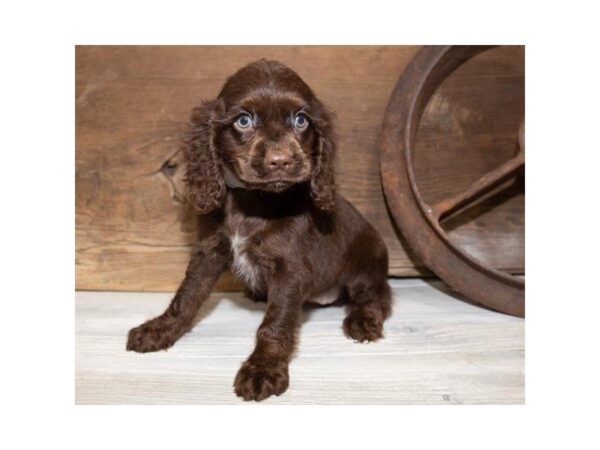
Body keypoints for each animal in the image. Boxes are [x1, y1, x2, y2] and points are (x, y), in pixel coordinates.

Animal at [126, 59, 392, 400]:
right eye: (244, 120)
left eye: (301, 120)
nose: (281, 161)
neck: (254, 200)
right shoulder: (209, 251)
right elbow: (186, 296)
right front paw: (159, 330)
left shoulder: (290, 271)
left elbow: (275, 324)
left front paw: (263, 369)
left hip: (366, 261)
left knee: (379, 294)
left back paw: (362, 320)